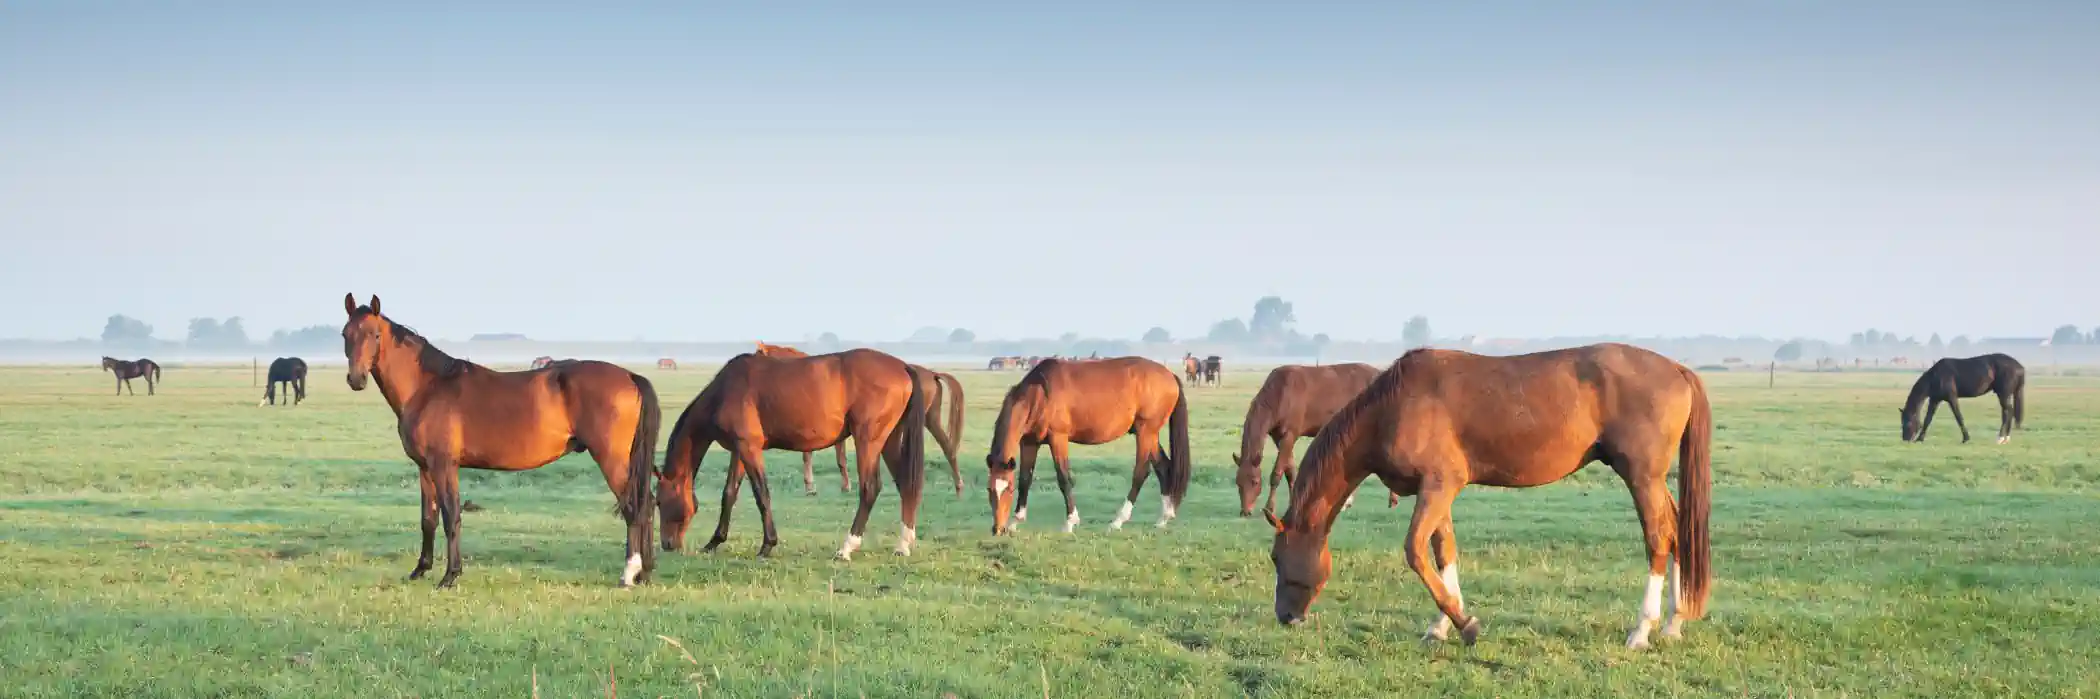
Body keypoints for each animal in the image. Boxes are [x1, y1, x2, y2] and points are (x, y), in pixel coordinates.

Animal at [340, 293, 659, 587]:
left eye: (375, 334)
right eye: (346, 334)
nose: (356, 379)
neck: (428, 387)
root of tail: (630, 376)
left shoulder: (444, 465)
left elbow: (451, 515)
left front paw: (450, 576)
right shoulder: (425, 467)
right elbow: (427, 519)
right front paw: (420, 570)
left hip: (612, 460)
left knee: (634, 508)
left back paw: (629, 574)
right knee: (648, 504)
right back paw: (644, 573)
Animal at [651, 348, 923, 562]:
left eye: (659, 502)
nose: (667, 544)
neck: (725, 391)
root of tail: (903, 367)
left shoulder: (749, 448)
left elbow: (761, 494)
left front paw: (767, 545)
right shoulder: (740, 450)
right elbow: (729, 494)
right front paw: (714, 542)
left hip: (868, 441)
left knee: (870, 488)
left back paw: (847, 547)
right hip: (888, 441)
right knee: (905, 485)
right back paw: (903, 544)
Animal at [978, 356, 1192, 531]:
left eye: (1008, 489)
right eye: (990, 489)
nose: (997, 528)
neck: (1039, 394)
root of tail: (1170, 376)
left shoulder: (1058, 438)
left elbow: (1063, 478)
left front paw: (1070, 521)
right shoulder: (1029, 442)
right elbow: (1025, 478)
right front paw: (1016, 521)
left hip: (1146, 432)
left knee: (1141, 473)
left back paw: (1118, 520)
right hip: (1149, 434)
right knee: (1163, 467)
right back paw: (1164, 517)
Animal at [1226, 361, 1394, 514]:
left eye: (1255, 482)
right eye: (1238, 482)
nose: (1245, 511)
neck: (1280, 394)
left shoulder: (1290, 434)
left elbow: (1277, 472)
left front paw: (1270, 508)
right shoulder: (1278, 437)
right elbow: (1290, 471)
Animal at [1260, 342, 1705, 646]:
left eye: (1277, 557)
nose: (1284, 616)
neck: (1394, 406)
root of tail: (1678, 368)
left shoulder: (1438, 485)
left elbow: (1415, 551)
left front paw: (1465, 624)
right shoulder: (1436, 490)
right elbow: (1443, 552)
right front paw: (1443, 623)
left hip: (1641, 477)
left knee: (1658, 539)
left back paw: (1642, 629)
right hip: (1651, 481)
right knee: (1676, 530)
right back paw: (1673, 622)